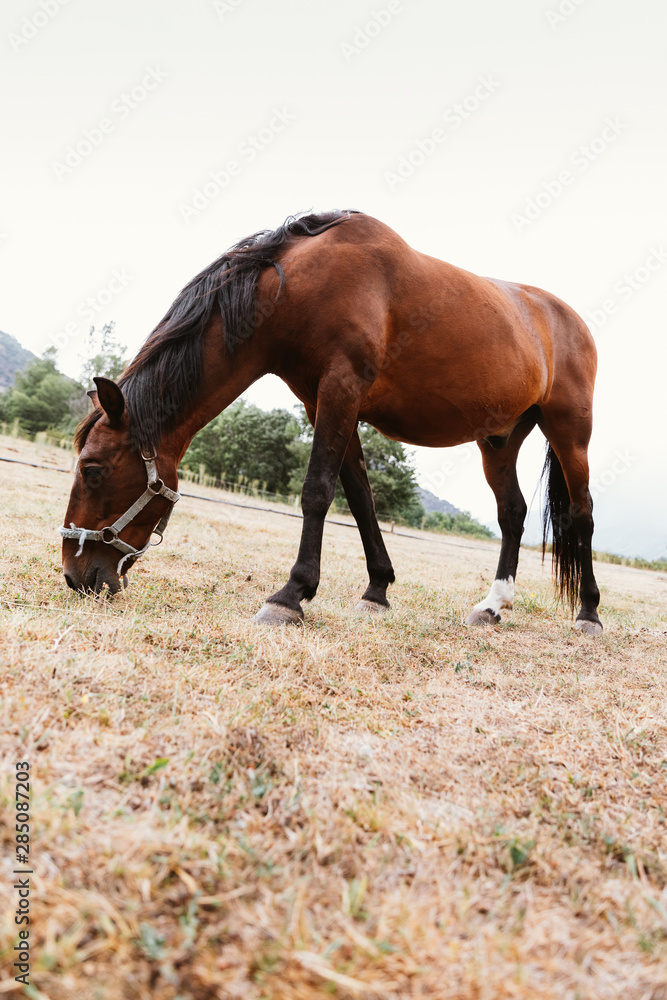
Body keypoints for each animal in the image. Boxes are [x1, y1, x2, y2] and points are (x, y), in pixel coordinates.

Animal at [60, 209, 603, 635]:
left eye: (92, 470)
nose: (74, 573)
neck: (299, 285)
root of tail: (568, 319)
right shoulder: (322, 401)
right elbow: (360, 499)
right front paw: (376, 591)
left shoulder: (341, 389)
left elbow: (317, 490)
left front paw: (290, 596)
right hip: (499, 440)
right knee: (512, 514)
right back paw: (492, 606)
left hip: (570, 433)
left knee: (582, 514)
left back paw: (589, 613)